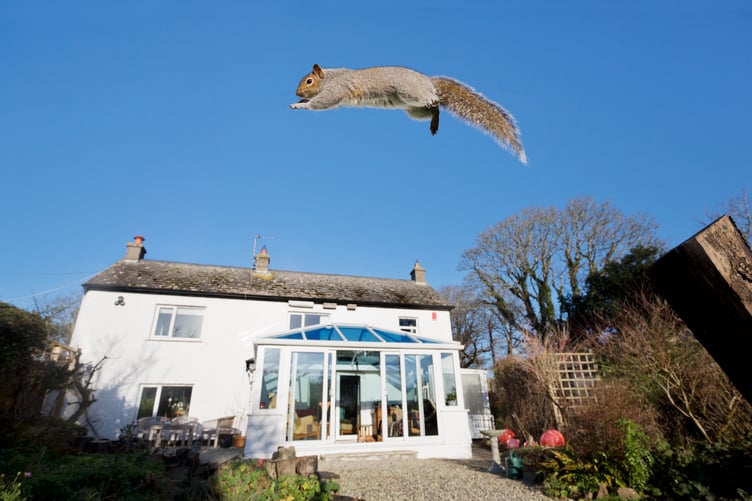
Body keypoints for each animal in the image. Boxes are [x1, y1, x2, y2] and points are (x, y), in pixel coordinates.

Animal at [290, 64, 526, 164]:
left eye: (308, 81)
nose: (297, 92)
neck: (330, 77)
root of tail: (430, 82)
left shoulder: (337, 89)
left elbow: (323, 102)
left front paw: (299, 105)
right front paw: (300, 101)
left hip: (411, 93)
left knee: (434, 100)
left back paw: (435, 102)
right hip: (414, 109)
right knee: (434, 110)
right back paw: (434, 123)